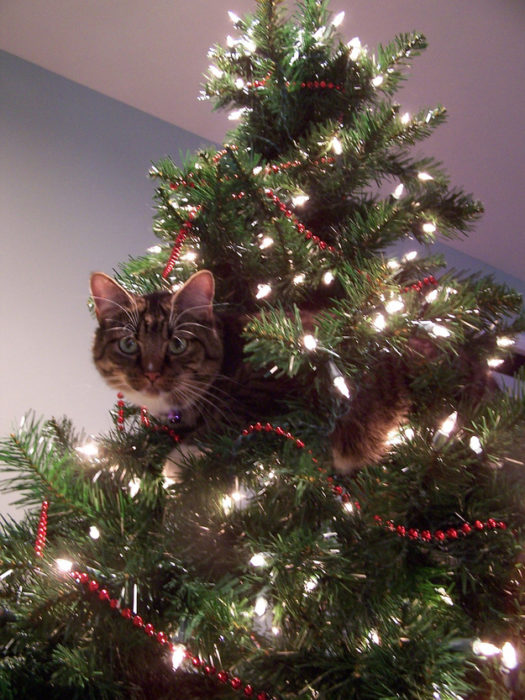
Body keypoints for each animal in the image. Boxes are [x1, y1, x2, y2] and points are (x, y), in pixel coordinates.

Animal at [89, 270, 410, 474]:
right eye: (129, 344)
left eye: (178, 344)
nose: (152, 373)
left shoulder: (275, 372)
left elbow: (230, 412)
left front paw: (178, 459)